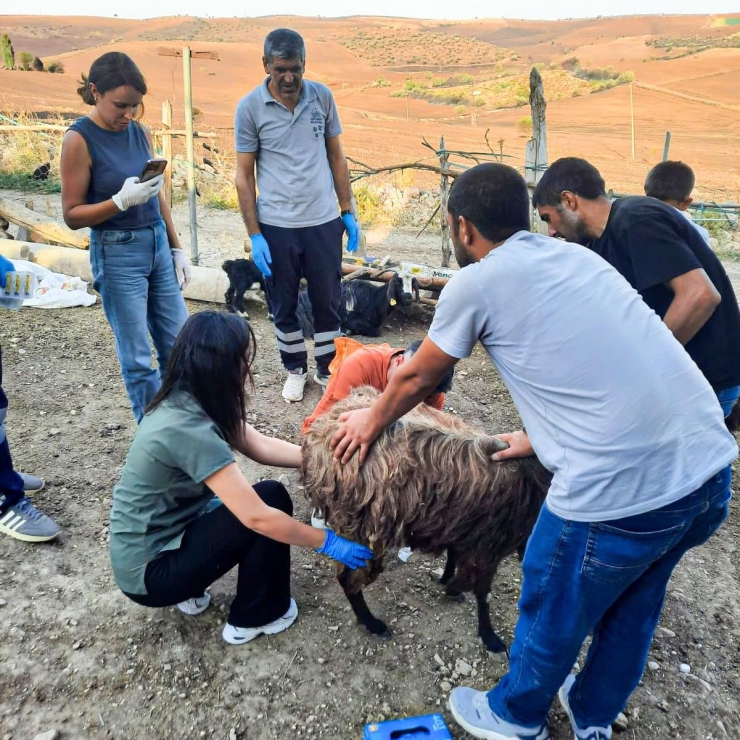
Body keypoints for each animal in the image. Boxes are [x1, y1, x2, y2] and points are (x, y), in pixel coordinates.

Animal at [300, 388, 548, 652]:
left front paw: (445, 581)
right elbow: (482, 592)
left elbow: (454, 556)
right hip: (361, 526)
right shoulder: (489, 546)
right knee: (348, 577)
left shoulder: (461, 525)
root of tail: (320, 433)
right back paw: (373, 624)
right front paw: (490, 637)